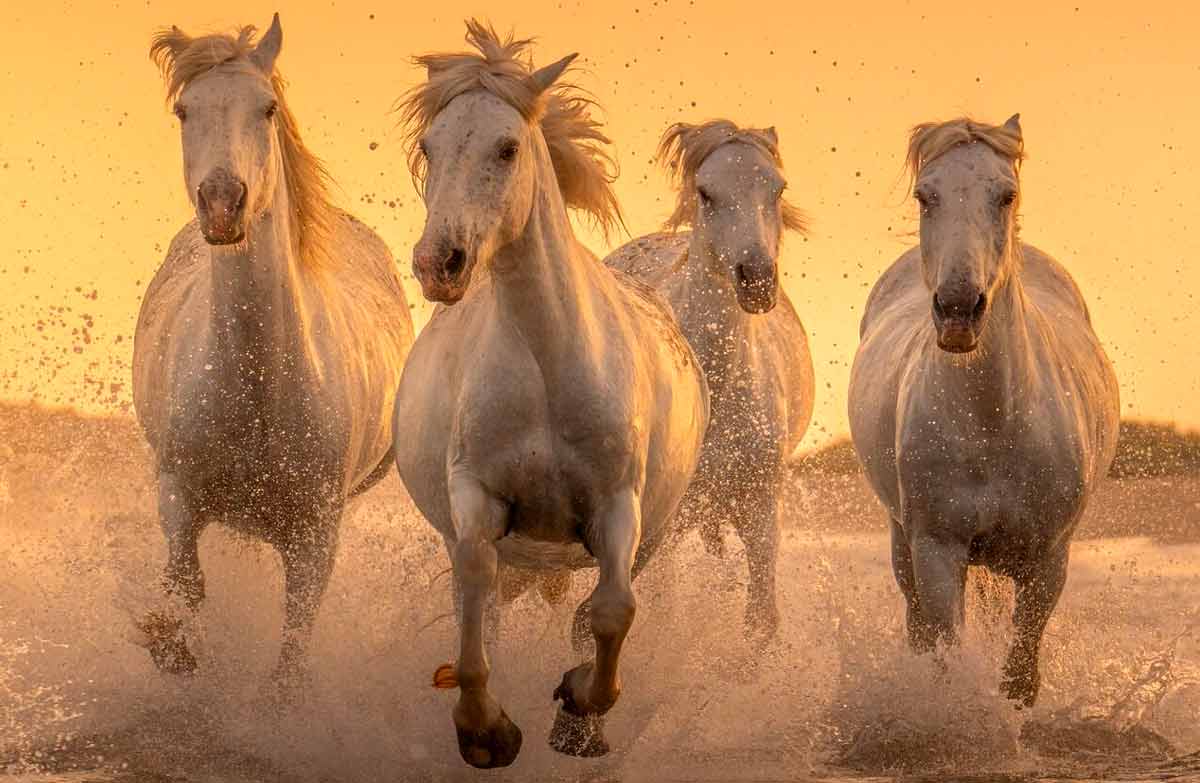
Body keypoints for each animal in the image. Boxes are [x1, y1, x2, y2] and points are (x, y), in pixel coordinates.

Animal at [132, 15, 414, 687]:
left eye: (267, 108)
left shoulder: (315, 536)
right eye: (184, 109)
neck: (258, 381)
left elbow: (289, 661)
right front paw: (178, 651)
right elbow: (186, 586)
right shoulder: (176, 494)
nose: (221, 203)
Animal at [391, 21, 709, 767]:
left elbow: (613, 610)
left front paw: (579, 709)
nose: (438, 262)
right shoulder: (477, 495)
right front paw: (485, 731)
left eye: (507, 147)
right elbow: (474, 588)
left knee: (597, 607)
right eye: (430, 146)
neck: (546, 366)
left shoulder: (617, 505)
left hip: (649, 531)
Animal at [602, 120, 814, 644]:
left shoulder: (760, 507)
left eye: (777, 188)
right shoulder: (663, 521)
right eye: (706, 192)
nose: (756, 279)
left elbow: (761, 621)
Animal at [847, 114, 1119, 707]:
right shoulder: (936, 550)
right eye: (926, 195)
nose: (957, 310)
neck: (994, 420)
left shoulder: (1047, 560)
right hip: (903, 542)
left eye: (1006, 195)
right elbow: (948, 656)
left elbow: (1019, 677)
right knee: (918, 626)